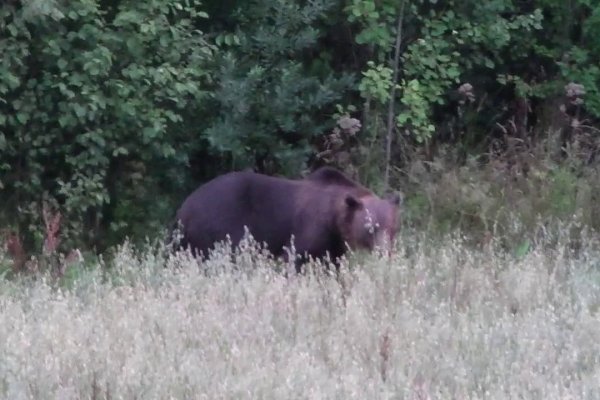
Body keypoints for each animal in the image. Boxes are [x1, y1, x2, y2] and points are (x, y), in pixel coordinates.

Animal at [171, 166, 400, 272]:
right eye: (370, 227)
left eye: (392, 228)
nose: (384, 252)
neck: (334, 219)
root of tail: (183, 209)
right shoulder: (308, 230)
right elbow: (295, 257)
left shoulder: (333, 245)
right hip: (218, 228)